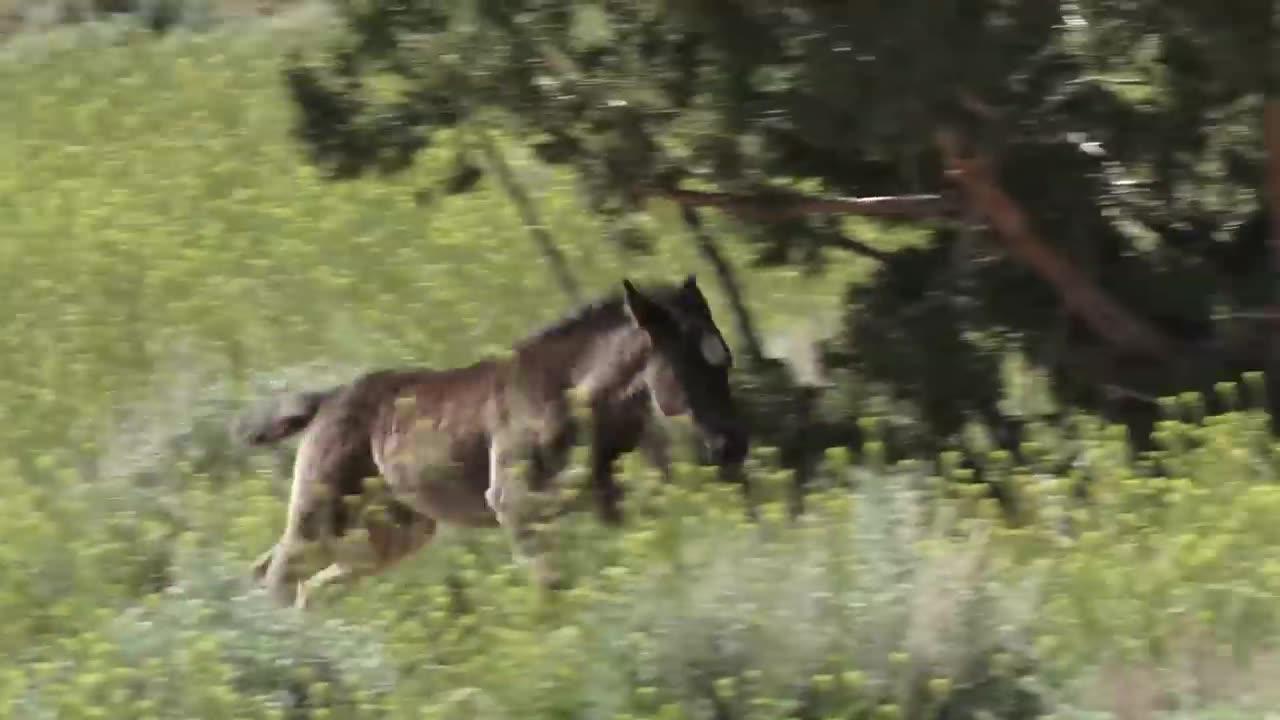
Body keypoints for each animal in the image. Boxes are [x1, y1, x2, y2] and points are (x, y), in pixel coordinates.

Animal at [238, 274, 747, 604]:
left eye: (725, 360)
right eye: (689, 365)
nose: (732, 443)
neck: (575, 394)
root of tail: (326, 399)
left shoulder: (608, 498)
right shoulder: (515, 503)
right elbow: (552, 588)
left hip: (394, 531)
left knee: (308, 588)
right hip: (321, 513)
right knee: (276, 574)